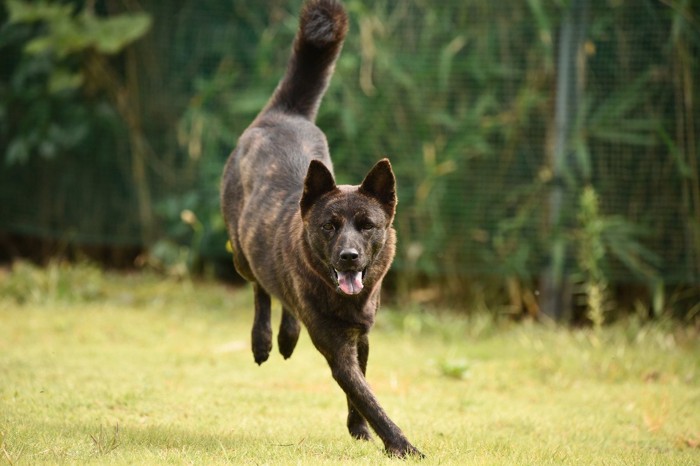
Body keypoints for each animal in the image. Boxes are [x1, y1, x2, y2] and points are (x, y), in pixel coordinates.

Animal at [221, 0, 422, 458]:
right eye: (329, 226)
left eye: (367, 226)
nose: (348, 257)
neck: (344, 299)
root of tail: (284, 112)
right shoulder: (334, 346)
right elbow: (367, 396)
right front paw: (401, 446)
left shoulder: (360, 338)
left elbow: (359, 393)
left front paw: (359, 429)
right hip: (241, 252)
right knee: (260, 287)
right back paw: (264, 340)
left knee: (280, 297)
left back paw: (287, 336)